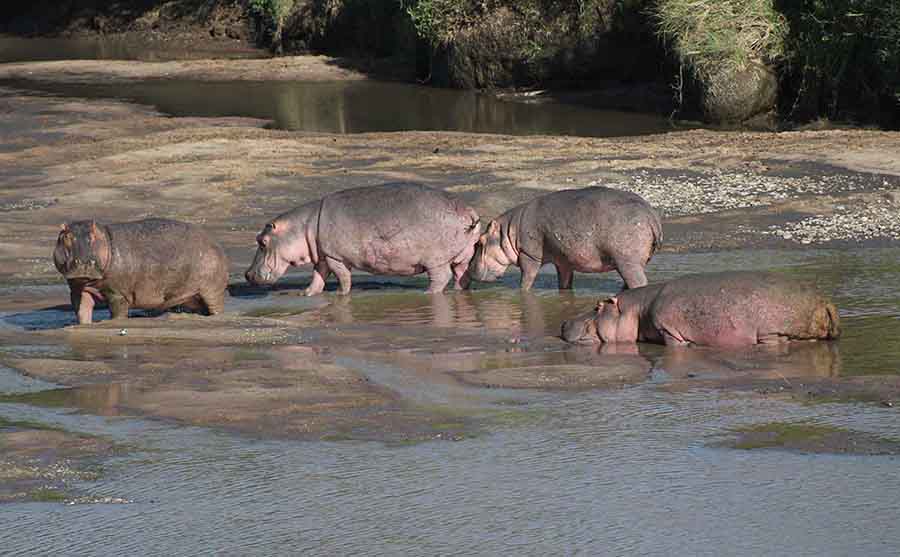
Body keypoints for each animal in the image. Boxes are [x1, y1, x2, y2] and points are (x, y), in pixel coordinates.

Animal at [54, 218, 228, 324]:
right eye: (66, 236)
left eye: (93, 235)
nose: (83, 263)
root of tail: (214, 242)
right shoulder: (78, 290)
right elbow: (82, 312)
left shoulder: (117, 294)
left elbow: (117, 314)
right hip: (193, 296)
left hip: (212, 290)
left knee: (216, 308)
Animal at [245, 182, 482, 295]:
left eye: (262, 241)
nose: (246, 274)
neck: (305, 226)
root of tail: (469, 211)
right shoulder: (323, 255)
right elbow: (318, 276)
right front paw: (306, 293)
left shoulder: (335, 256)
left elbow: (343, 277)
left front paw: (340, 294)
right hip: (462, 254)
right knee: (462, 275)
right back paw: (459, 292)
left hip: (435, 259)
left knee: (441, 277)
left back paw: (427, 292)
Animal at [469, 186, 661, 291]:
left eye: (480, 241)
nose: (468, 269)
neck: (509, 232)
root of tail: (651, 215)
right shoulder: (564, 261)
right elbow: (564, 282)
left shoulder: (529, 256)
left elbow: (526, 280)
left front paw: (522, 293)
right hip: (630, 262)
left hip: (627, 262)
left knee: (638, 282)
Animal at [561, 271, 840, 347]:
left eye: (597, 306)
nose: (563, 322)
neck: (637, 309)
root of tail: (825, 301)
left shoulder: (669, 331)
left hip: (772, 332)